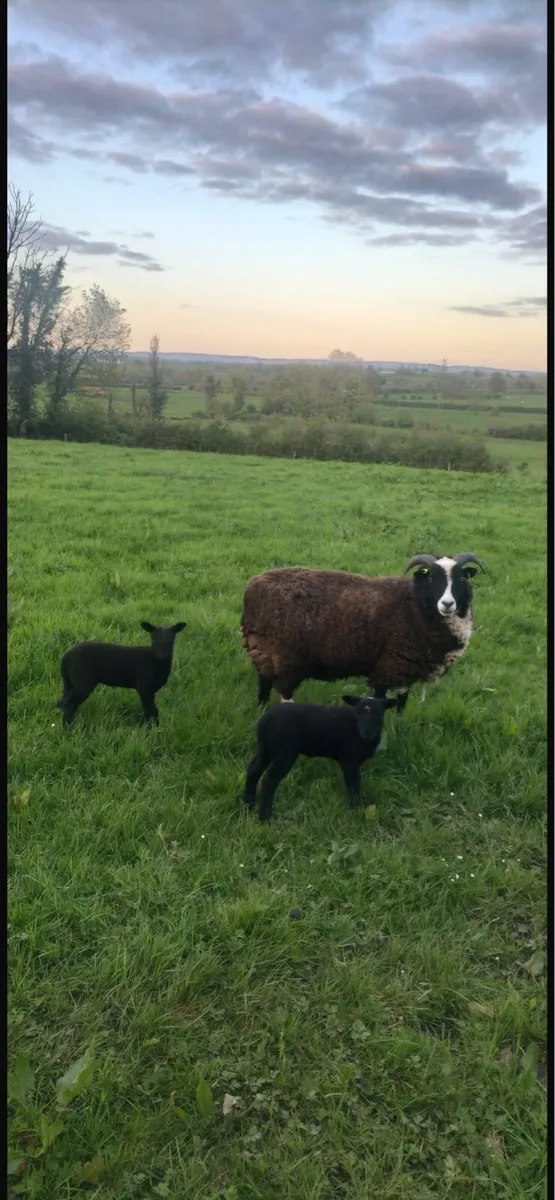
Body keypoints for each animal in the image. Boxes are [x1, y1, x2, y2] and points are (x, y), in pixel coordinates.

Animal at [57, 621, 187, 726]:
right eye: (154, 639)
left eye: (171, 641)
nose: (162, 656)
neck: (155, 661)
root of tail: (66, 656)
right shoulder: (144, 687)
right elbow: (151, 710)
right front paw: (152, 730)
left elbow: (150, 710)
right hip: (83, 682)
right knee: (70, 704)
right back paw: (68, 728)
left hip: (69, 682)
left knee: (64, 703)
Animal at [240, 553, 484, 710]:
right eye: (431, 577)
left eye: (462, 578)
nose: (447, 604)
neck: (413, 605)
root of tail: (254, 588)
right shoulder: (390, 665)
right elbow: (380, 699)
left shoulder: (405, 669)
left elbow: (401, 703)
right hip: (286, 657)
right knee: (284, 692)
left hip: (263, 650)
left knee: (263, 682)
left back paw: (261, 711)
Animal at [243, 694, 399, 821]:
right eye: (358, 714)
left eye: (380, 715)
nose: (367, 733)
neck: (357, 730)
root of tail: (266, 719)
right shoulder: (349, 760)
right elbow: (353, 785)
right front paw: (353, 811)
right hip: (285, 752)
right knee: (268, 781)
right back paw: (265, 817)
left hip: (266, 749)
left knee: (253, 770)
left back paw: (249, 804)